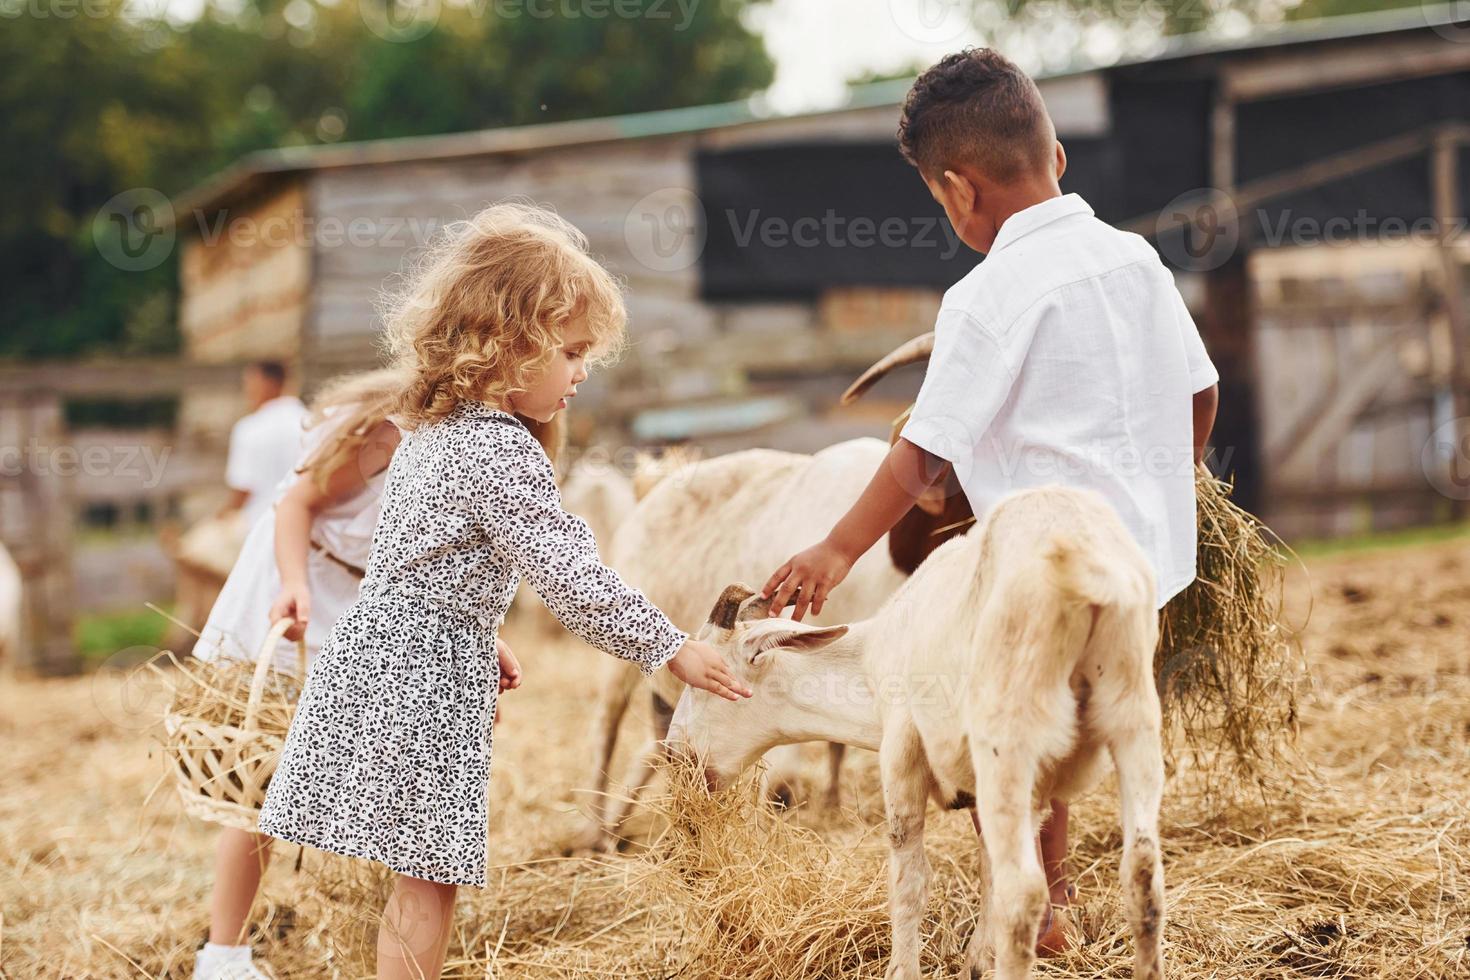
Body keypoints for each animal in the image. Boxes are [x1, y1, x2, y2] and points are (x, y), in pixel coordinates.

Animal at [673, 487, 1164, 980]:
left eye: (705, 680)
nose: (676, 755)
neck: (872, 658)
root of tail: (1082, 564)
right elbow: (985, 864)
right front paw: (977, 963)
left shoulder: (901, 749)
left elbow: (909, 878)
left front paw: (906, 968)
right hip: (1132, 715)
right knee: (1142, 874)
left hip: (1011, 737)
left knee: (1024, 892)